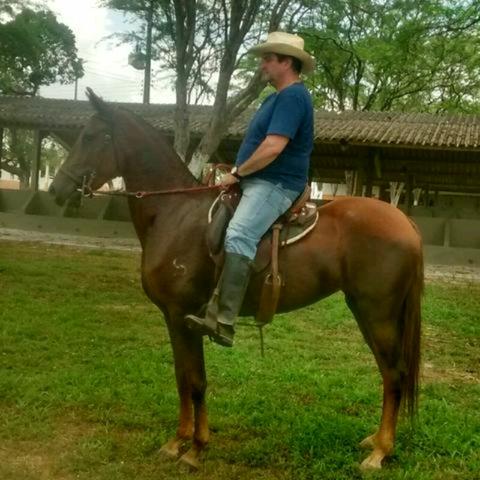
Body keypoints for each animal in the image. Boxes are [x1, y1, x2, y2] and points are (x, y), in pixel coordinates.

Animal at [50, 89, 422, 468]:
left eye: (90, 137)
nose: (57, 189)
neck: (173, 214)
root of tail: (404, 222)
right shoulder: (173, 318)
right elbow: (182, 379)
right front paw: (178, 441)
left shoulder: (183, 315)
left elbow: (196, 381)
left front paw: (196, 447)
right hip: (366, 312)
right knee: (387, 372)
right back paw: (375, 441)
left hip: (378, 314)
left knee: (394, 373)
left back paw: (380, 452)